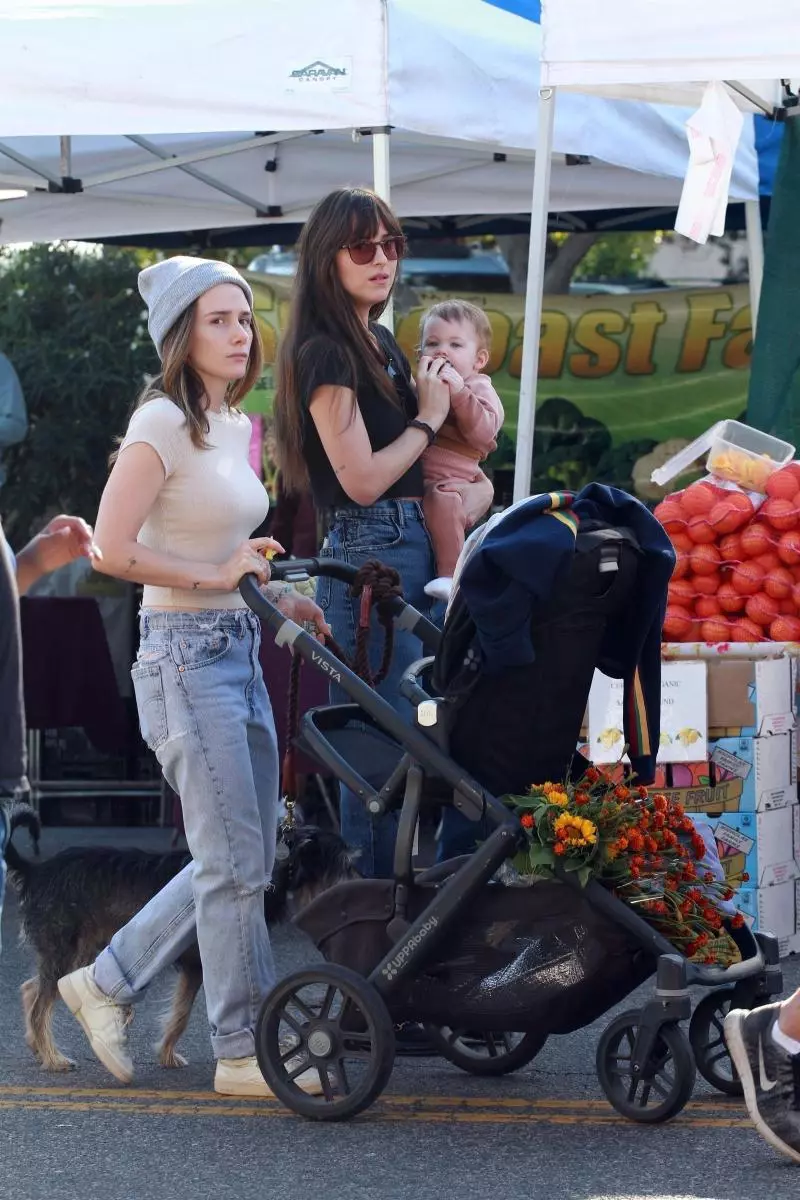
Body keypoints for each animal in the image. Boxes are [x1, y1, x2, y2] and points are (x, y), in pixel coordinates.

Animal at [5, 806, 357, 1070]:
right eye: (344, 863)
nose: (361, 881)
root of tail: (37, 871)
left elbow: (181, 1012)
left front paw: (167, 1054)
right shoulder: (197, 965)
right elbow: (183, 1014)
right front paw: (169, 1053)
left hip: (77, 952)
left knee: (31, 989)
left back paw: (36, 1044)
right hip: (65, 950)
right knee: (40, 1004)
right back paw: (53, 1057)